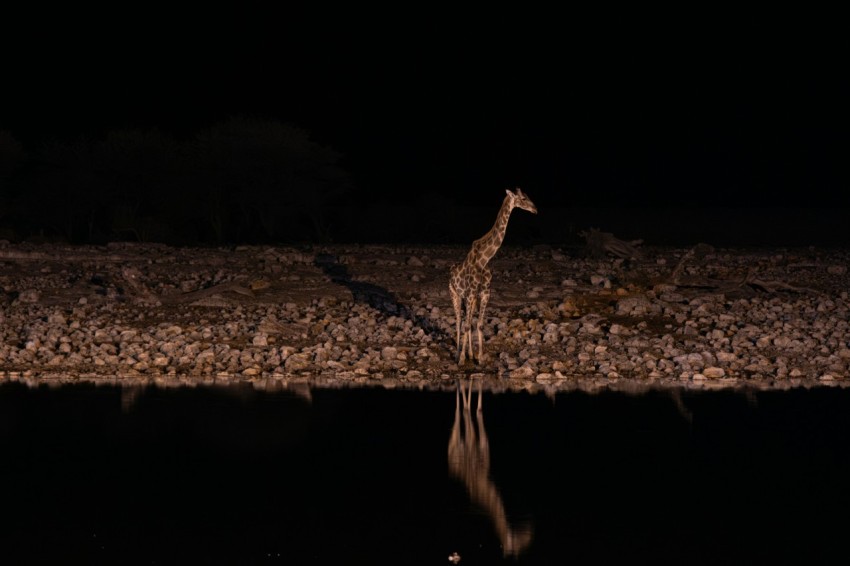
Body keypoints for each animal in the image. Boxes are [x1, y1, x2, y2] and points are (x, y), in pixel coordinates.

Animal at [448, 189, 532, 366]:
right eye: (523, 198)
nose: (534, 209)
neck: (484, 259)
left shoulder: (484, 293)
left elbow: (479, 324)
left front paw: (479, 358)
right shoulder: (470, 294)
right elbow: (466, 325)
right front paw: (461, 359)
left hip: (470, 298)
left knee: (468, 321)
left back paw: (469, 354)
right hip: (455, 294)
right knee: (459, 322)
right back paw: (457, 355)